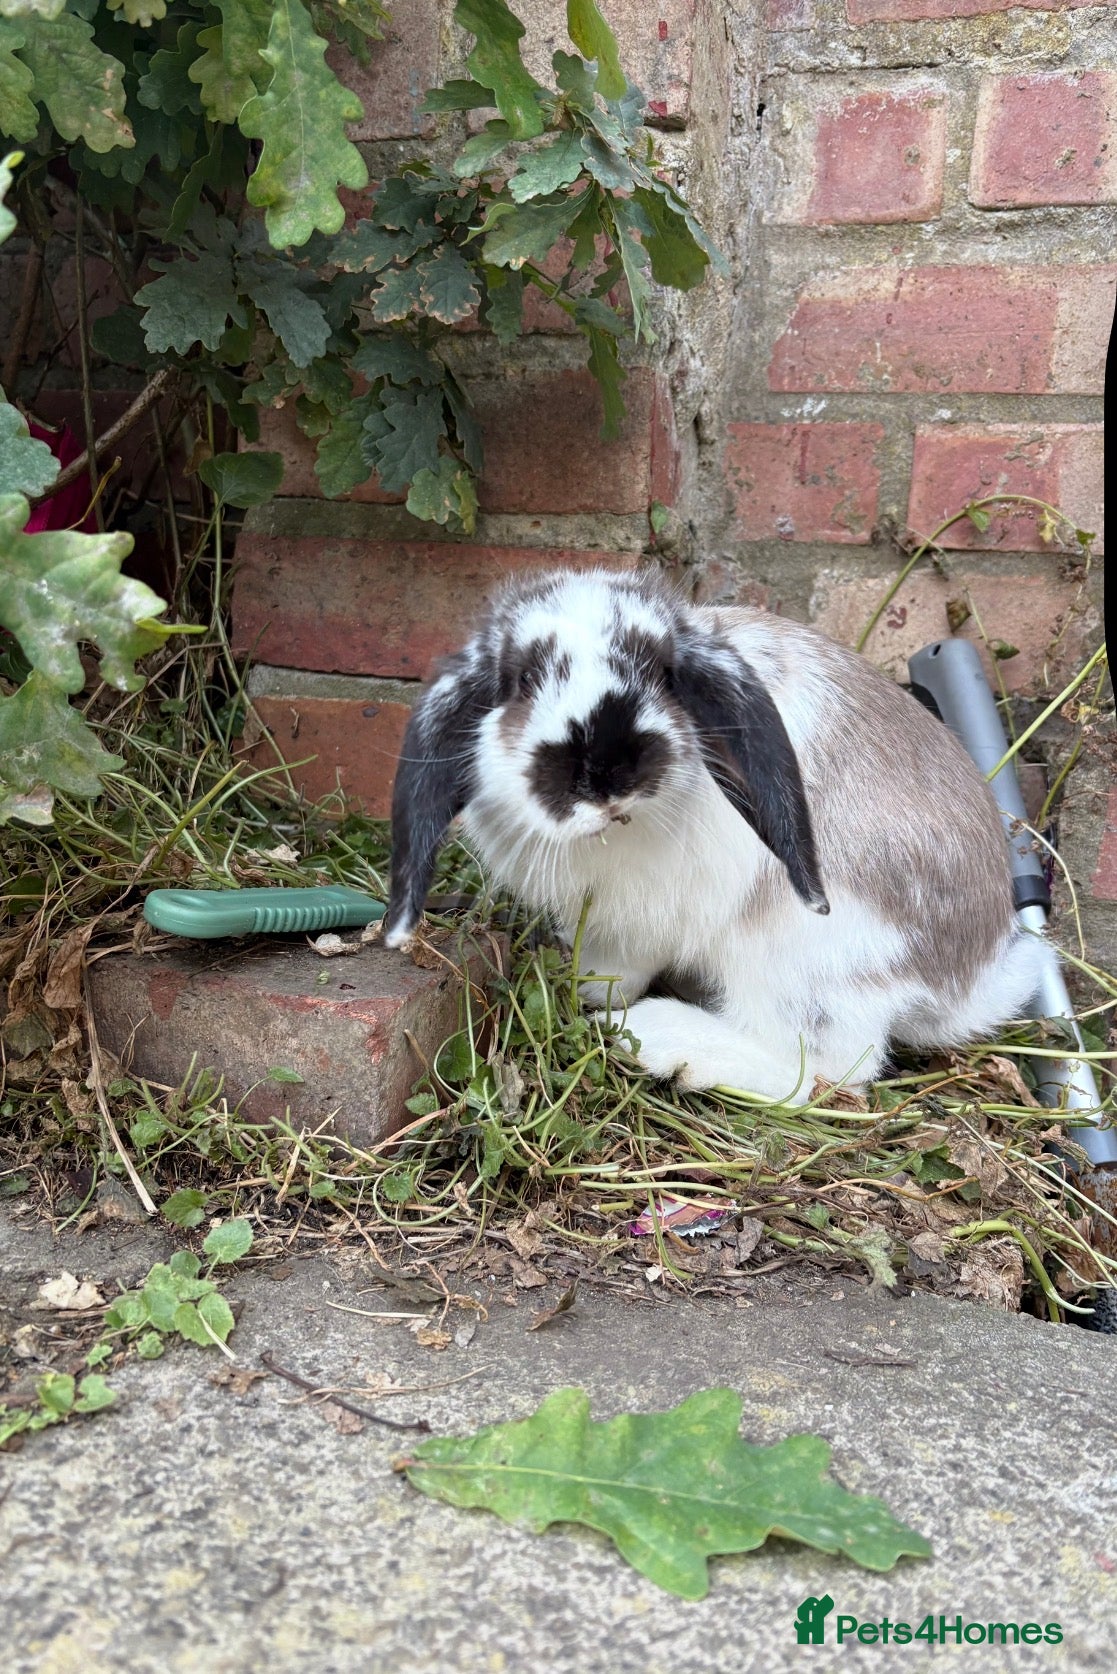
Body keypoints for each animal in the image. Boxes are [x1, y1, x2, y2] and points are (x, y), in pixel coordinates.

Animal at [383, 566, 1050, 1104]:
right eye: (520, 680)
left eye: (664, 673)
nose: (606, 772)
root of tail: (966, 979)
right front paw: (583, 980)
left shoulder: (653, 915)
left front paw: (606, 1004)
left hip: (799, 958)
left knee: (825, 1068)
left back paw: (660, 1038)